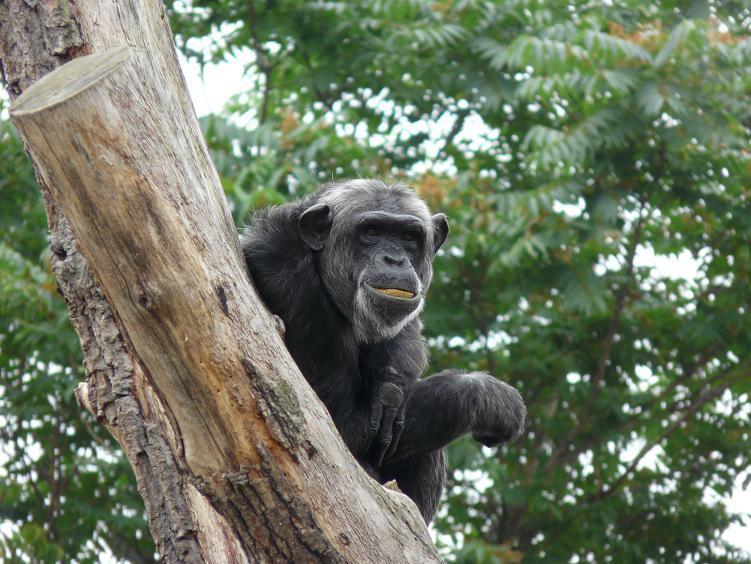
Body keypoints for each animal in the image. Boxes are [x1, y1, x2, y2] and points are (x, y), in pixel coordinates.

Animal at [244, 178, 524, 524]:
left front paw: (392, 383)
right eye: (372, 231)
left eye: (409, 237)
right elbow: (339, 427)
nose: (395, 259)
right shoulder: (292, 285)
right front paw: (491, 397)